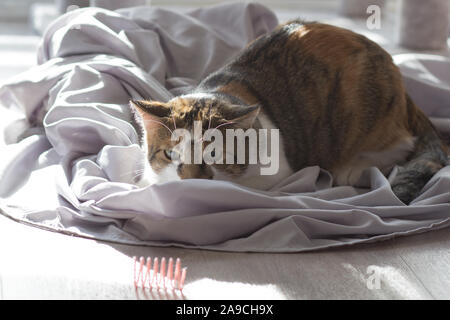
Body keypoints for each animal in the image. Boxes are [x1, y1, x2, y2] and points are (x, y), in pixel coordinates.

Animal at [128, 20, 448, 204]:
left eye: (215, 153)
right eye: (170, 154)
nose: (191, 180)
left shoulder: (277, 175)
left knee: (400, 145)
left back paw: (352, 167)